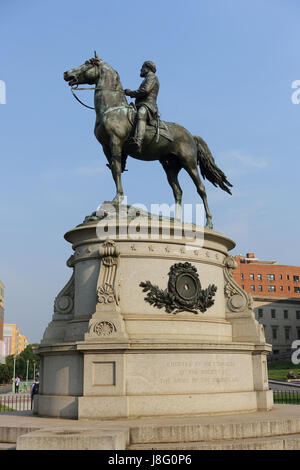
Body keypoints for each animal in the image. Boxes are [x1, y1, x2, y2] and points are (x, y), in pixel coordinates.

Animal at [63, 51, 232, 228]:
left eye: (88, 63)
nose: (66, 73)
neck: (111, 109)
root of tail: (191, 136)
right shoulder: (105, 147)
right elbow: (115, 170)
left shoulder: (115, 142)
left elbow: (117, 170)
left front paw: (117, 199)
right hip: (170, 166)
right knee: (178, 191)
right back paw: (176, 222)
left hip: (189, 162)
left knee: (201, 188)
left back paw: (209, 223)